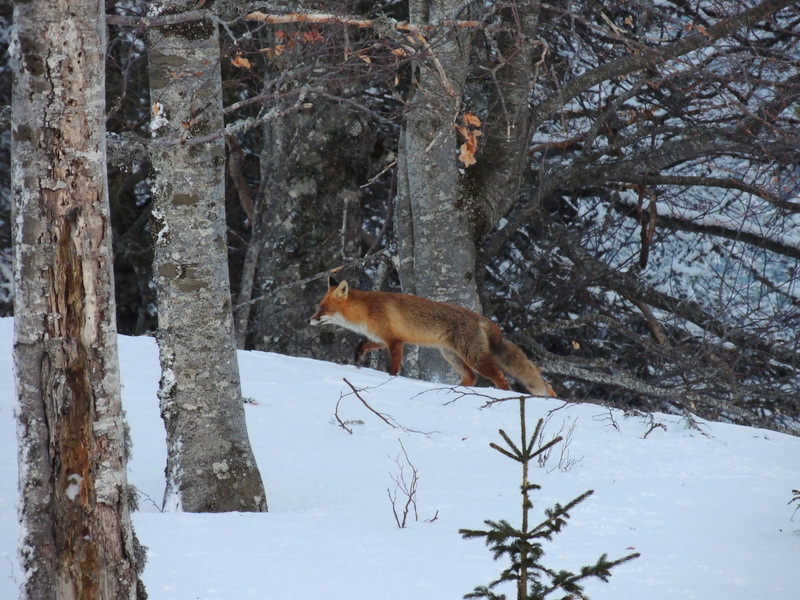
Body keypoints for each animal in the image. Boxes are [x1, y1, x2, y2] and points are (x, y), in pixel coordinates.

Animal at [310, 278, 552, 398]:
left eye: (323, 309)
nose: (310, 320)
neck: (367, 310)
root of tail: (484, 319)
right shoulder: (381, 338)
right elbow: (362, 345)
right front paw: (358, 361)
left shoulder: (395, 342)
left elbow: (394, 370)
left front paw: (389, 381)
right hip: (451, 356)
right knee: (471, 378)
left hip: (474, 358)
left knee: (501, 379)